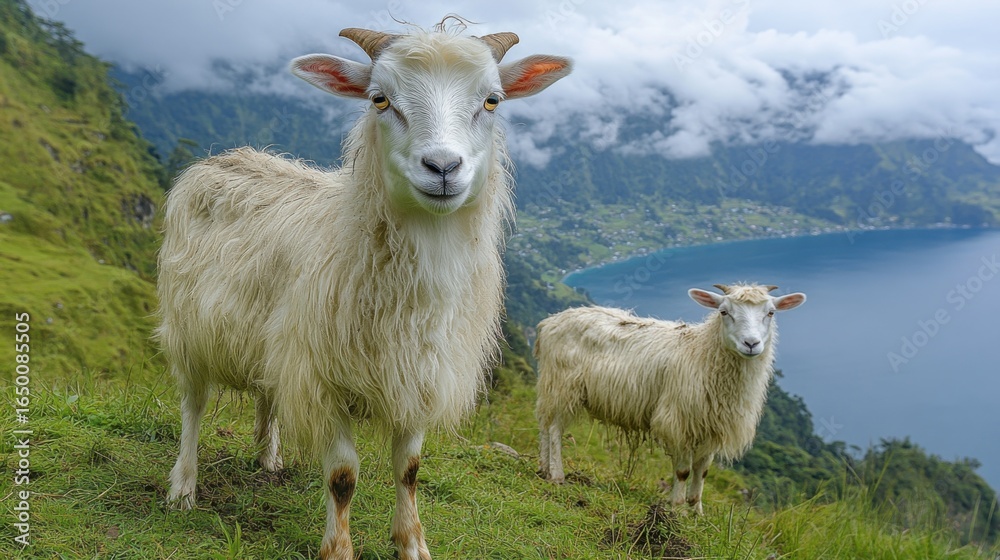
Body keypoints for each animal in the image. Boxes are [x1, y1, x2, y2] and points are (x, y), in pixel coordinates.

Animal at [157, 22, 571, 560]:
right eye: (379, 99)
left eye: (492, 100)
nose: (442, 166)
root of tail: (222, 158)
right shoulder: (325, 381)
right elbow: (342, 476)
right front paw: (338, 548)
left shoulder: (416, 375)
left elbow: (410, 471)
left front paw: (412, 543)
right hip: (188, 329)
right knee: (193, 406)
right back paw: (183, 487)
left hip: (276, 340)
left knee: (268, 393)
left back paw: (268, 457)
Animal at [534, 283, 805, 514]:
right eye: (724, 312)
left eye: (770, 313)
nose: (751, 343)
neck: (702, 353)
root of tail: (551, 321)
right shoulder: (679, 421)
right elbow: (684, 471)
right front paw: (677, 508)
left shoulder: (712, 426)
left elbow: (702, 472)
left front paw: (696, 511)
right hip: (563, 385)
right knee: (555, 429)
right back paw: (557, 475)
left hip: (552, 385)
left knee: (544, 426)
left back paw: (543, 469)